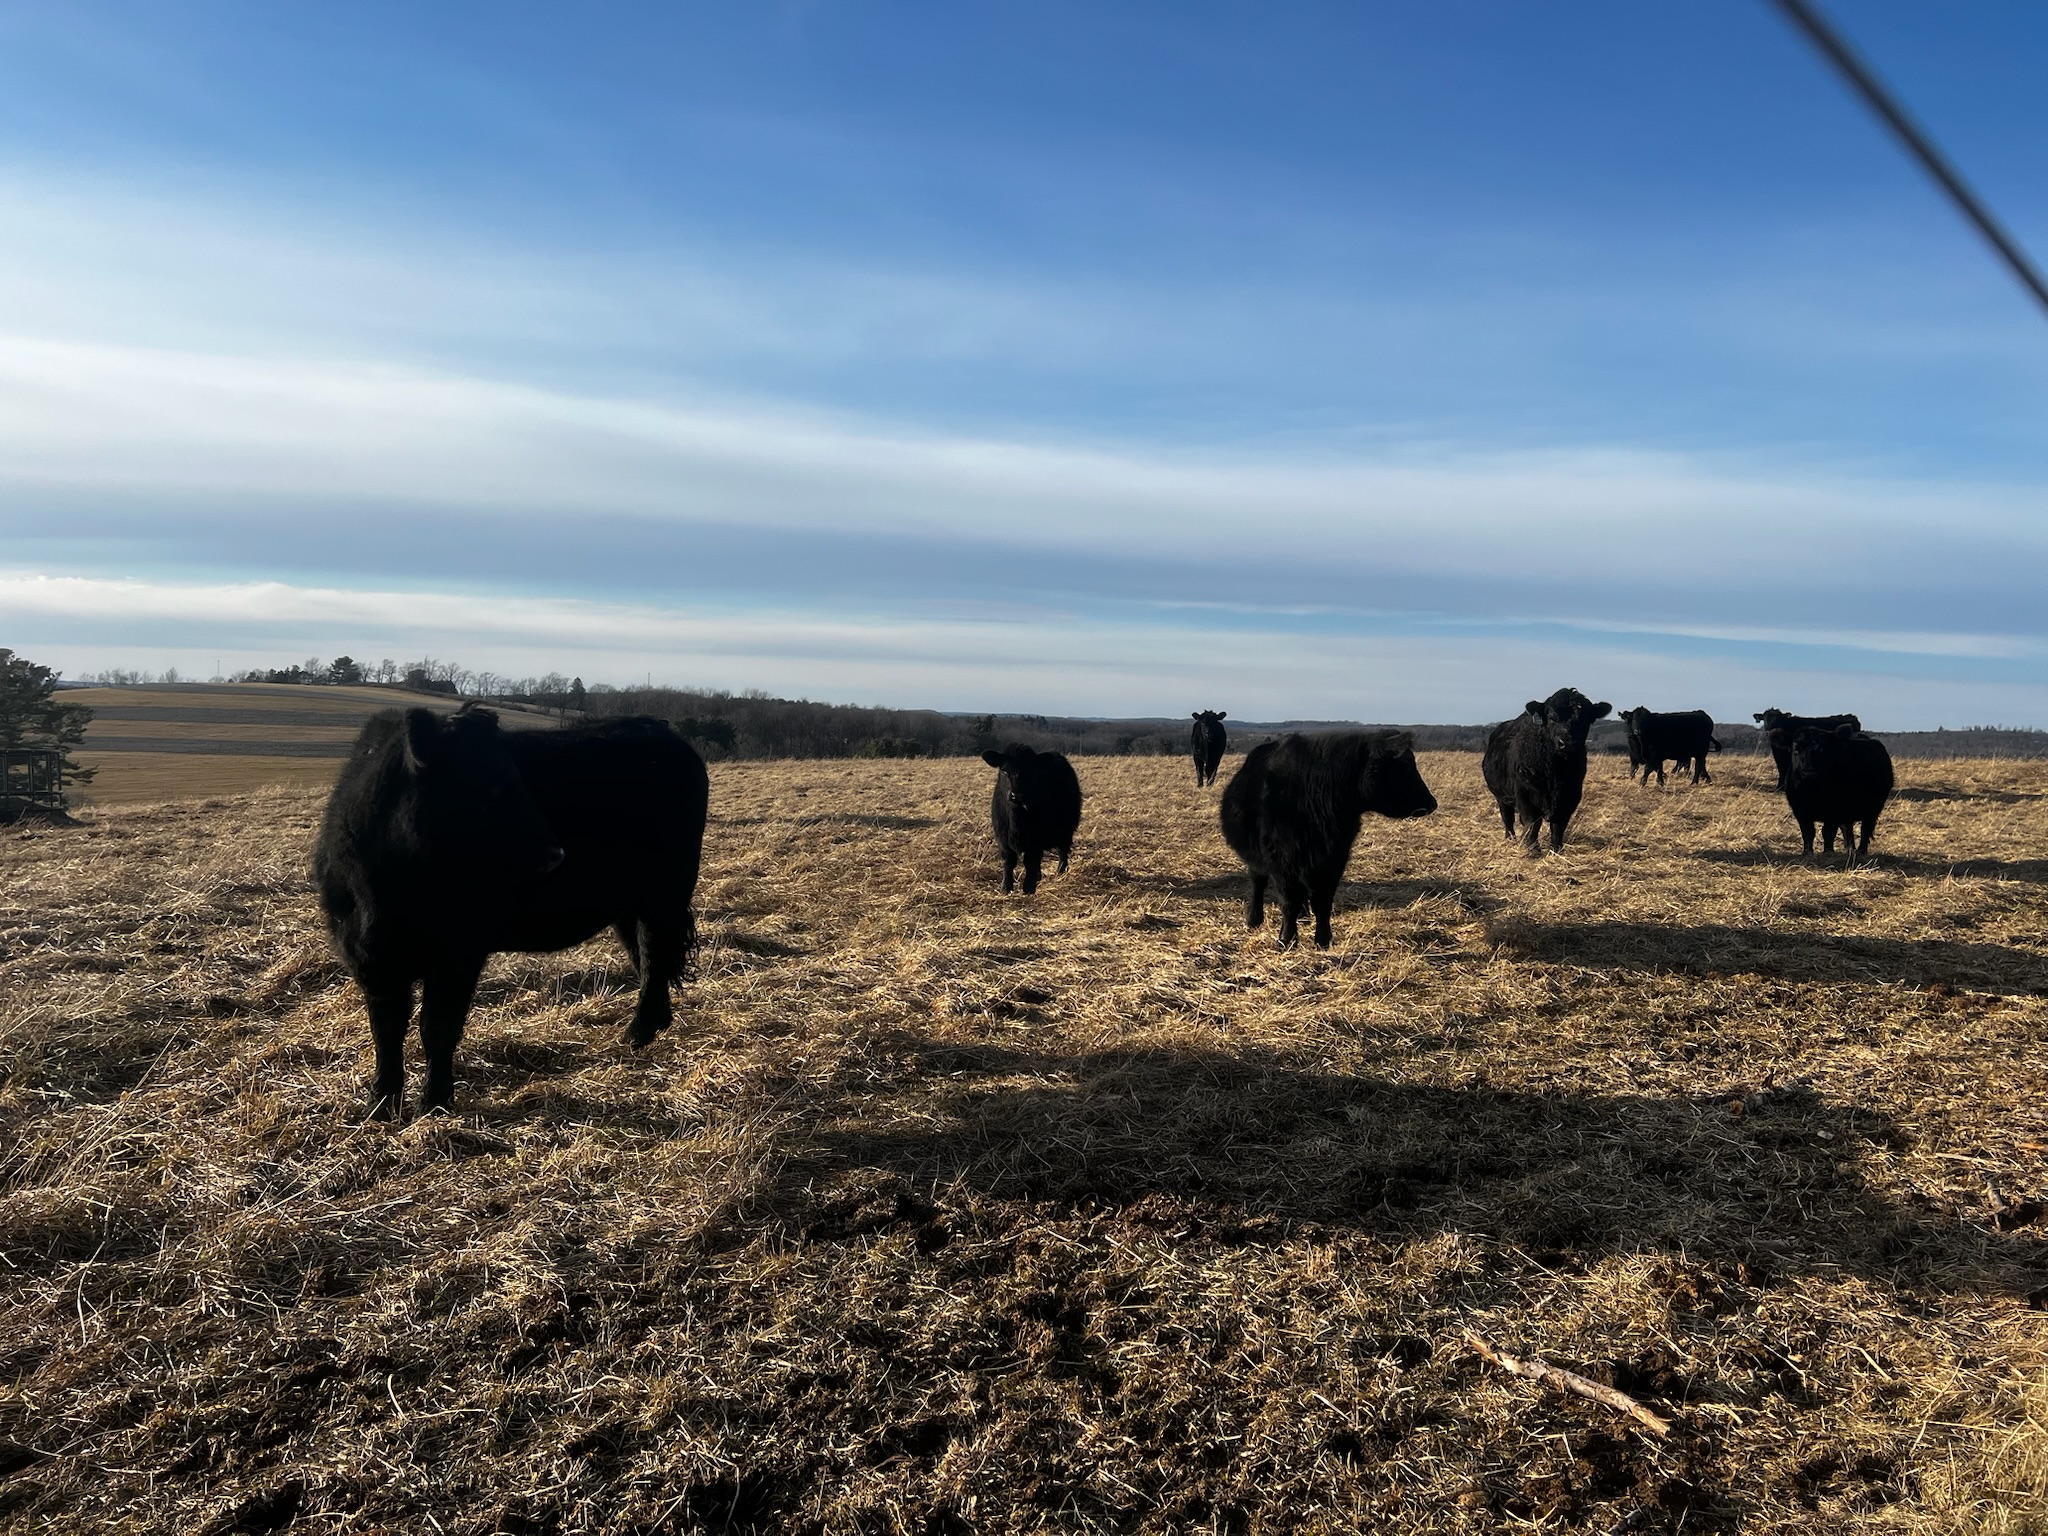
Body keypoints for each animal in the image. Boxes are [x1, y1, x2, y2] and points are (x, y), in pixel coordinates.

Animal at [314, 706, 709, 1118]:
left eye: (518, 779)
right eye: (489, 786)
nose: (555, 854)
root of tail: (659, 730)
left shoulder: (459, 954)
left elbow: (438, 1027)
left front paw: (435, 1103)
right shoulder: (370, 957)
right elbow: (386, 1031)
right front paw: (380, 1104)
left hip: (665, 892)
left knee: (654, 951)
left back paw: (637, 1031)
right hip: (628, 903)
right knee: (647, 957)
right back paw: (647, 1029)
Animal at [983, 744, 1083, 893]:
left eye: (1030, 771)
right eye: (1005, 770)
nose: (1016, 795)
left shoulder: (1036, 839)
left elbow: (1030, 860)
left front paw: (1029, 887)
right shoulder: (1002, 837)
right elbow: (1008, 861)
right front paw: (1006, 887)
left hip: (1067, 827)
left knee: (1062, 850)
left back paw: (1061, 871)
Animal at [1219, 731, 1438, 950]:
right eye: (1406, 766)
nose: (1432, 803)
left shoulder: (1334, 859)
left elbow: (1322, 901)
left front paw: (1324, 940)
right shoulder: (1283, 861)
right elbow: (1289, 901)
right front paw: (1287, 940)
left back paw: (1303, 916)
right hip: (1258, 858)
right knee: (1258, 883)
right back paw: (1254, 920)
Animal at [1481, 688, 1613, 853]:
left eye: (1584, 719)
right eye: (1551, 717)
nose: (1567, 742)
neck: (1555, 772)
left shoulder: (1571, 794)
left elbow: (1558, 825)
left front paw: (1557, 849)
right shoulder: (1525, 793)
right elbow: (1532, 822)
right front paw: (1532, 849)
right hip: (1501, 796)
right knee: (1508, 818)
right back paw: (1509, 839)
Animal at [1772, 721, 1893, 859]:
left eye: (1823, 750)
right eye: (1796, 749)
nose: (1808, 772)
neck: (1812, 792)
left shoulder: (1834, 811)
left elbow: (1828, 832)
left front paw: (1828, 852)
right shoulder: (1800, 811)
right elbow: (1808, 832)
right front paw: (1807, 852)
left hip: (1873, 808)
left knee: (1865, 829)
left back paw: (1861, 851)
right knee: (1847, 828)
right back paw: (1850, 849)